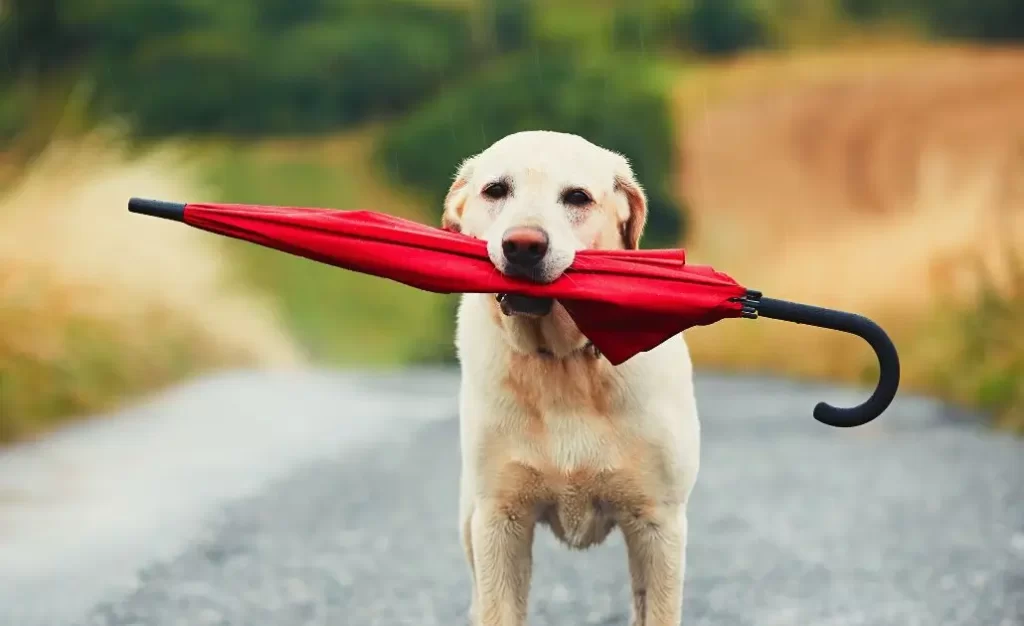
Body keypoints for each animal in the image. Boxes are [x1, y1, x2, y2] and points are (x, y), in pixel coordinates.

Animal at [444, 129, 700, 622]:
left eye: (577, 197)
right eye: (495, 190)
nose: (523, 245)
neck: (562, 362)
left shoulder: (658, 523)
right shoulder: (499, 521)